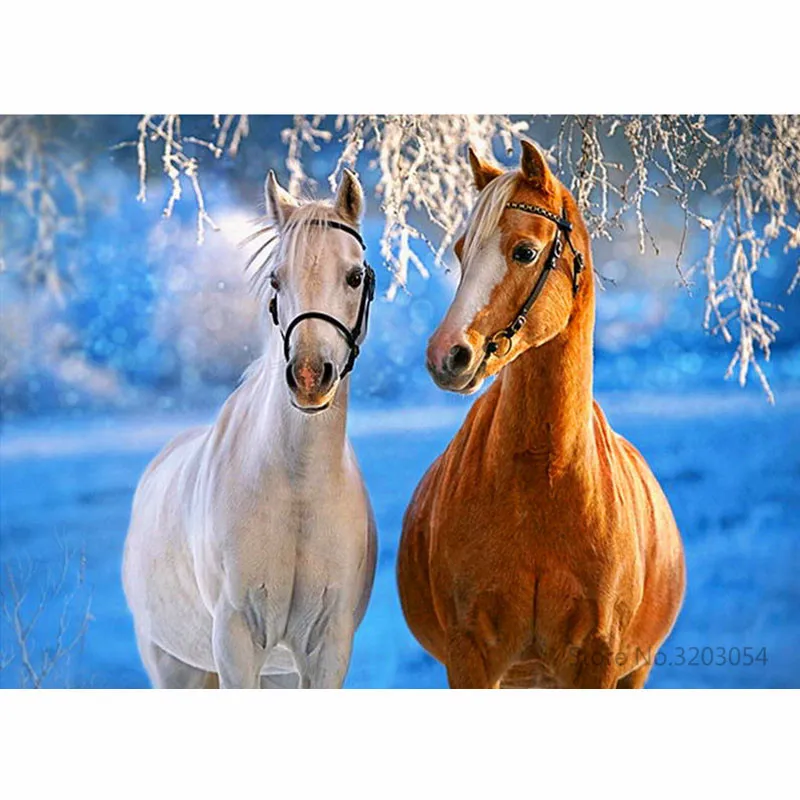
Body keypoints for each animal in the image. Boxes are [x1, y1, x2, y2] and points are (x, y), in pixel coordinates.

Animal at [123, 169, 377, 688]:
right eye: (277, 278)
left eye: (355, 276)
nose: (309, 376)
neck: (298, 490)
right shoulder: (237, 642)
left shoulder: (327, 649)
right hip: (174, 668)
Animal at [397, 140, 685, 689]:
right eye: (461, 251)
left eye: (525, 252)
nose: (447, 356)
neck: (543, 479)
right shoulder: (470, 658)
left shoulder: (596, 661)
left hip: (634, 672)